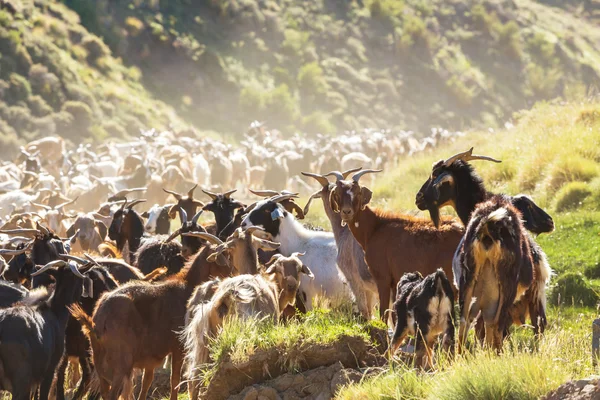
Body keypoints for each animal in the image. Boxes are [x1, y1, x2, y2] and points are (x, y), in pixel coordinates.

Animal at [183, 253, 314, 400]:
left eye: (299, 269)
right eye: (279, 269)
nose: (291, 286)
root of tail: (223, 298)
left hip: (204, 342)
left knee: (194, 378)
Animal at [302, 170, 378, 318]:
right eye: (336, 193)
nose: (346, 211)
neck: (345, 233)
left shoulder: (354, 278)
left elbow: (365, 310)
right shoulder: (369, 289)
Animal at [328, 169, 464, 322]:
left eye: (357, 193)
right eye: (337, 193)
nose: (346, 212)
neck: (375, 226)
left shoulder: (383, 277)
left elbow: (384, 312)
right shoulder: (395, 281)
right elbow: (393, 314)